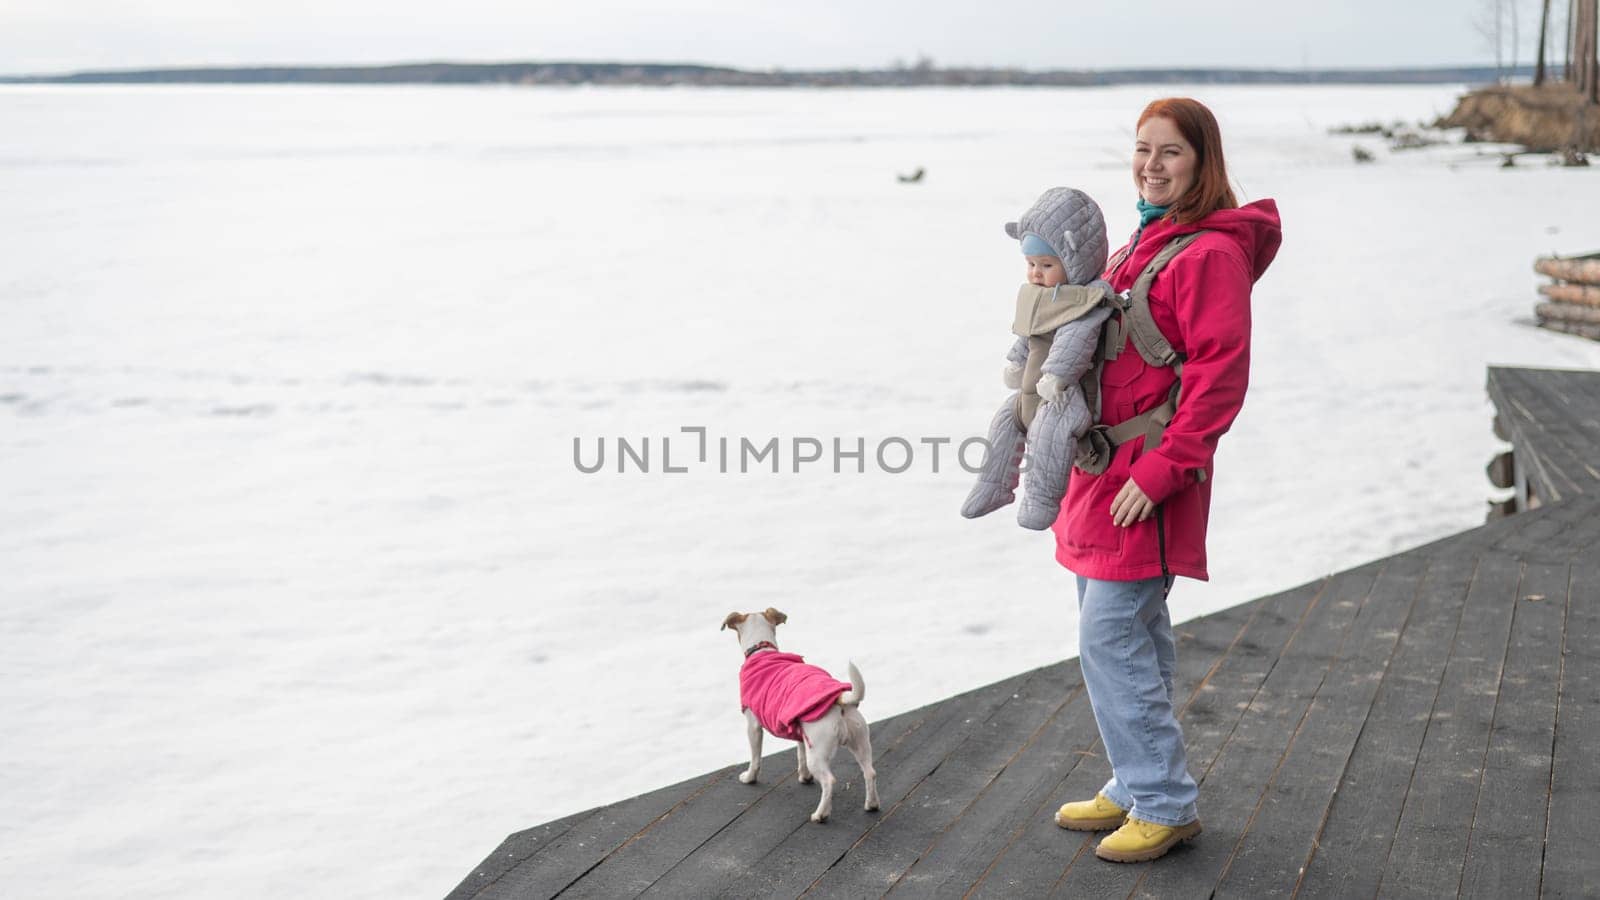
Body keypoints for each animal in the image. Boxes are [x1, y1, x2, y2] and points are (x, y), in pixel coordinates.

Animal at [723, 605, 883, 826]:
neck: (762, 649)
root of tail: (839, 700)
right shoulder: (798, 730)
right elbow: (800, 755)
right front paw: (804, 777)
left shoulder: (753, 727)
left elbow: (755, 758)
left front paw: (749, 778)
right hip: (860, 742)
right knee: (870, 772)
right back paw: (871, 804)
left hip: (819, 753)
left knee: (829, 780)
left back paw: (820, 814)